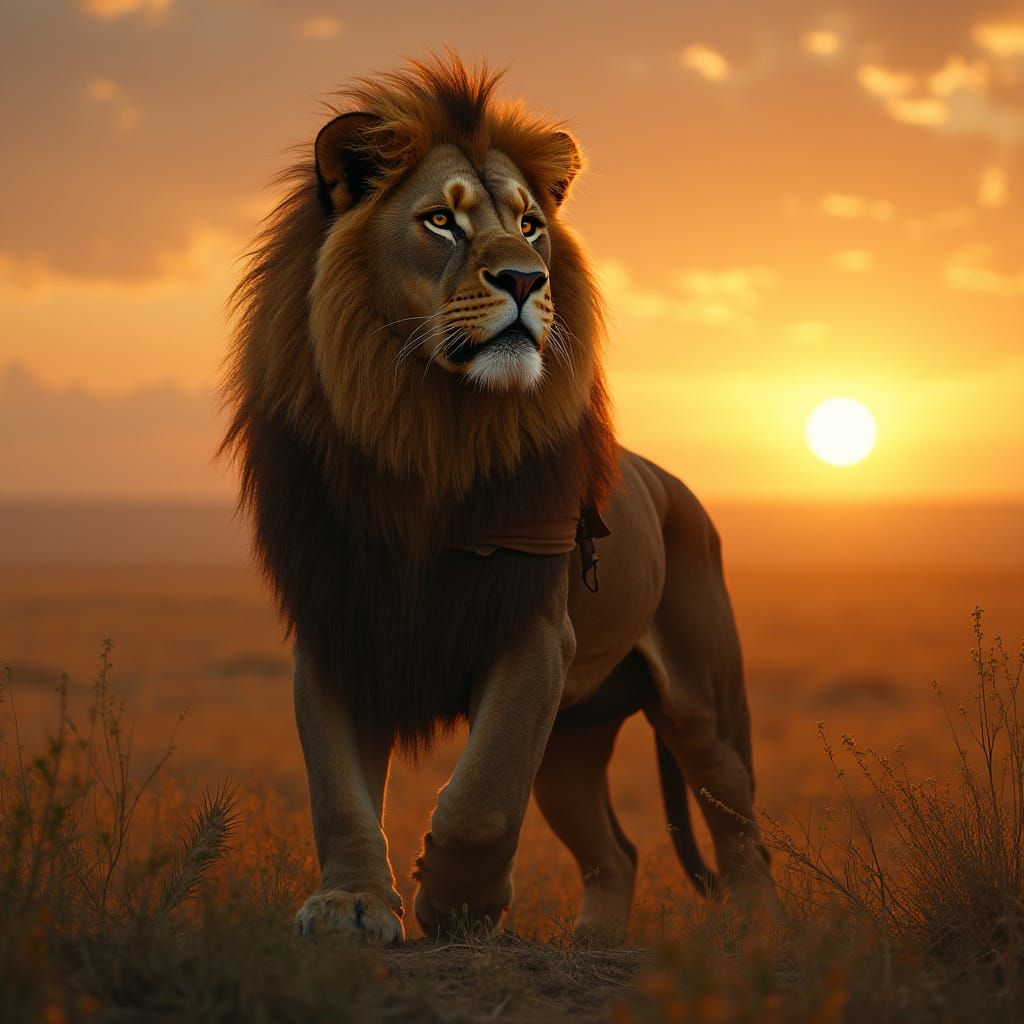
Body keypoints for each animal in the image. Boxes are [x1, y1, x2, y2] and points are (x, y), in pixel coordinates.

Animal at [221, 56, 775, 944]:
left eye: (531, 225)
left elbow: (481, 797)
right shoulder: (340, 625)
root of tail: (675, 485)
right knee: (616, 851)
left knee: (739, 830)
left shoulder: (532, 632)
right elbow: (338, 792)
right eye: (442, 221)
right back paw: (594, 940)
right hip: (574, 740)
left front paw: (455, 904)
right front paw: (349, 904)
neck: (426, 428)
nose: (526, 278)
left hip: (703, 703)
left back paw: (752, 932)